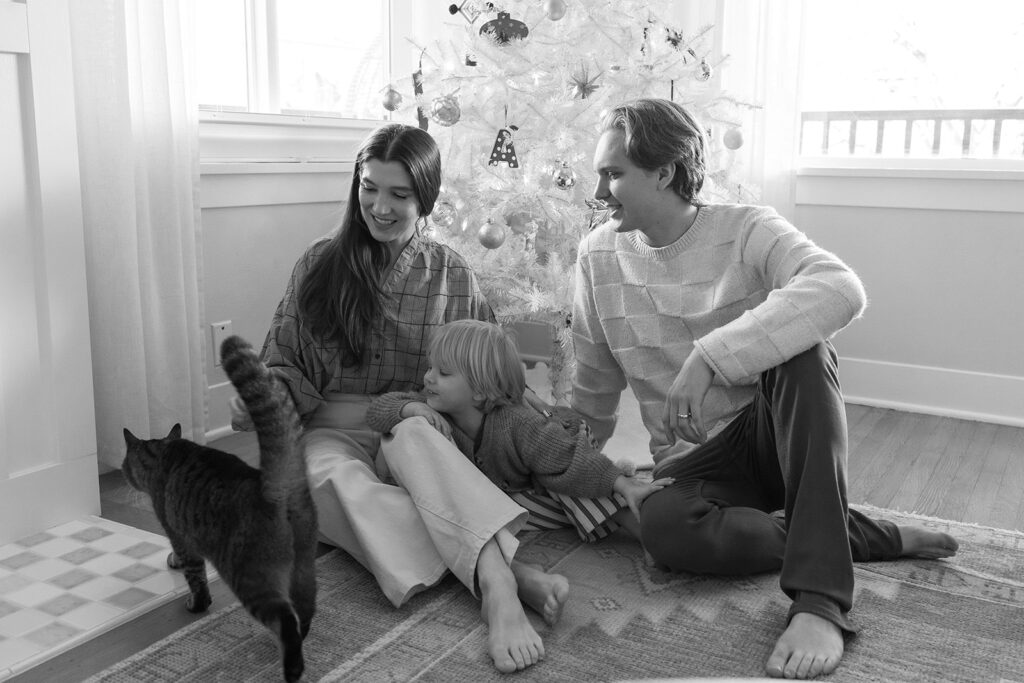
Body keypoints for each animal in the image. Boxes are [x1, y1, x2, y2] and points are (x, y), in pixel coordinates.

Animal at [123, 335, 315, 683]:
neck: (165, 452)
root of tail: (274, 488)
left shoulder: (178, 532)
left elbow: (195, 576)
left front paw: (195, 602)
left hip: (250, 578)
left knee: (286, 621)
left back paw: (291, 667)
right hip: (305, 570)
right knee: (304, 614)